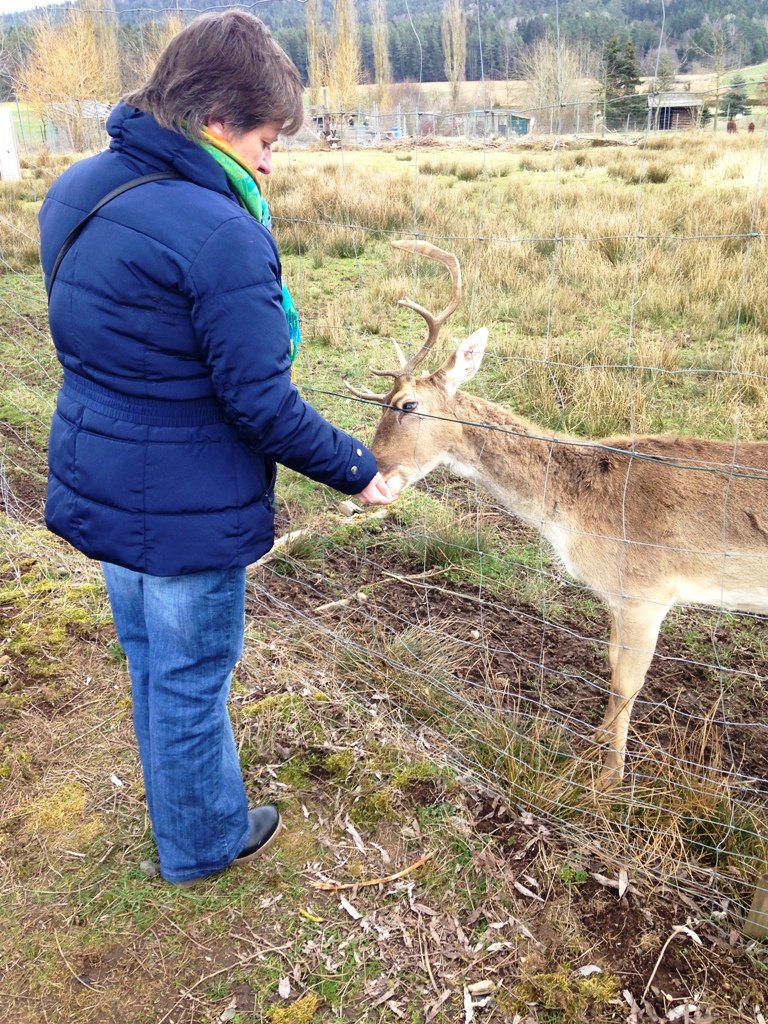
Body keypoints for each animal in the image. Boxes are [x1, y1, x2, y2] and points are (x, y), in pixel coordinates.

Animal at [346, 239, 768, 790]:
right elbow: (611, 668)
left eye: (408, 404)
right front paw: (591, 749)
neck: (578, 517)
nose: (373, 477)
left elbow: (628, 682)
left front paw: (607, 781)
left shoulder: (647, 590)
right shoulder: (618, 597)